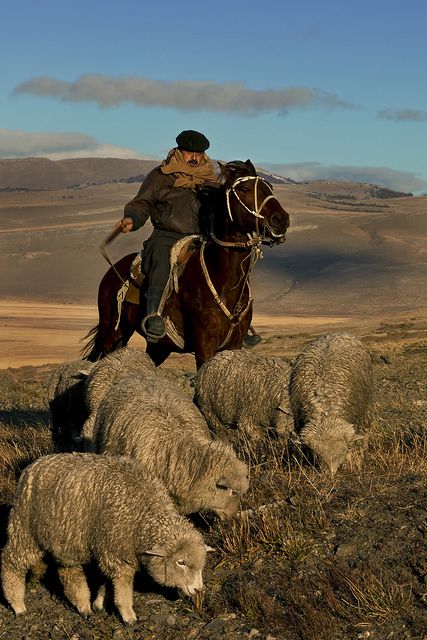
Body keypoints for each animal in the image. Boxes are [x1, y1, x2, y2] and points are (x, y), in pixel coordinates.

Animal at [1, 450, 209, 624]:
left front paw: (99, 603)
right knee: (11, 562)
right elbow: (123, 588)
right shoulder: (117, 554)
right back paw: (17, 604)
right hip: (25, 530)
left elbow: (108, 582)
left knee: (69, 572)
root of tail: (33, 465)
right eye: (181, 562)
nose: (198, 589)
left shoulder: (110, 548)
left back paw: (83, 604)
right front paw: (128, 615)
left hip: (67, 539)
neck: (143, 517)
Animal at [83, 160, 290, 368]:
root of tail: (114, 270)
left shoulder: (235, 344)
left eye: (269, 187)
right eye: (245, 189)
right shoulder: (204, 345)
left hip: (159, 347)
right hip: (113, 330)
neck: (224, 277)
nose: (281, 219)